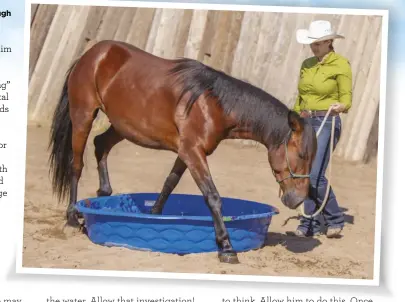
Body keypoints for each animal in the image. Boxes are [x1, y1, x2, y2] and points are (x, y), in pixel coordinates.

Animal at [49, 39, 318, 262]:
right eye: (301, 156)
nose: (298, 199)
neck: (213, 103)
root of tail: (93, 53)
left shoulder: (186, 152)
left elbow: (170, 183)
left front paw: (154, 216)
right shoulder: (193, 152)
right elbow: (212, 197)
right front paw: (226, 247)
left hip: (122, 126)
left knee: (100, 145)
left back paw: (103, 193)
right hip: (83, 117)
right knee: (76, 165)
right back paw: (72, 217)